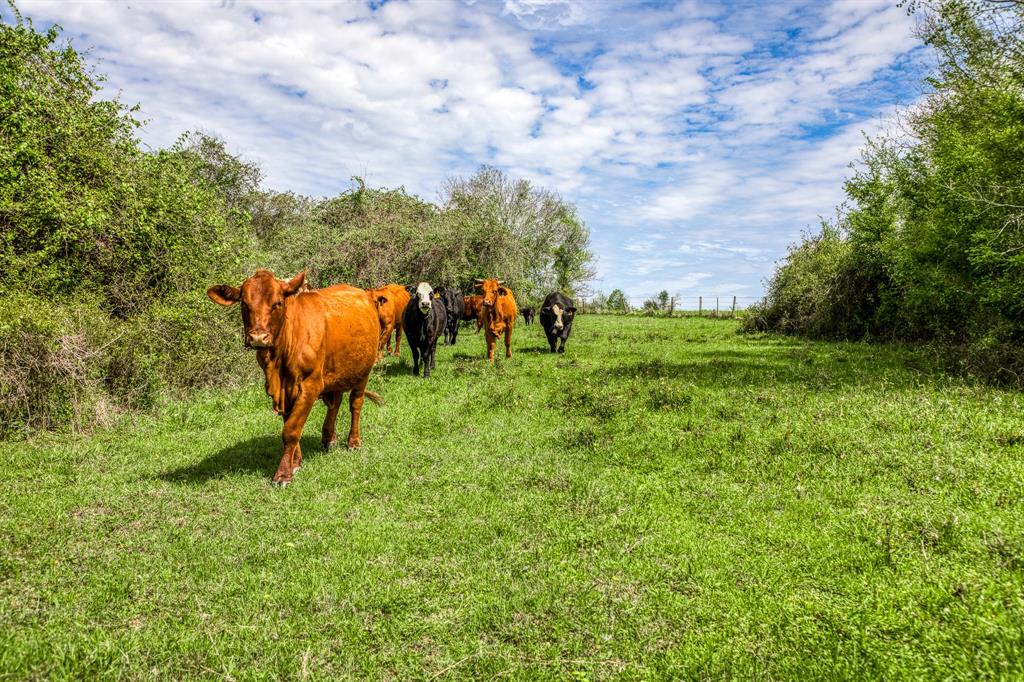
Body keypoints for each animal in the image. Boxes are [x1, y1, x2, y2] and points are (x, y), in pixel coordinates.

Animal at [205, 268, 382, 485]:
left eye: (277, 303)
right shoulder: (285, 391)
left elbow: (290, 430)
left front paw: (283, 473)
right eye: (244, 304)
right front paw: (296, 462)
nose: (258, 338)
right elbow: (289, 424)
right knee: (335, 403)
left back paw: (353, 442)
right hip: (335, 372)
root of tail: (364, 293)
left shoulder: (310, 385)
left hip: (363, 372)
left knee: (355, 405)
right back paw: (329, 438)